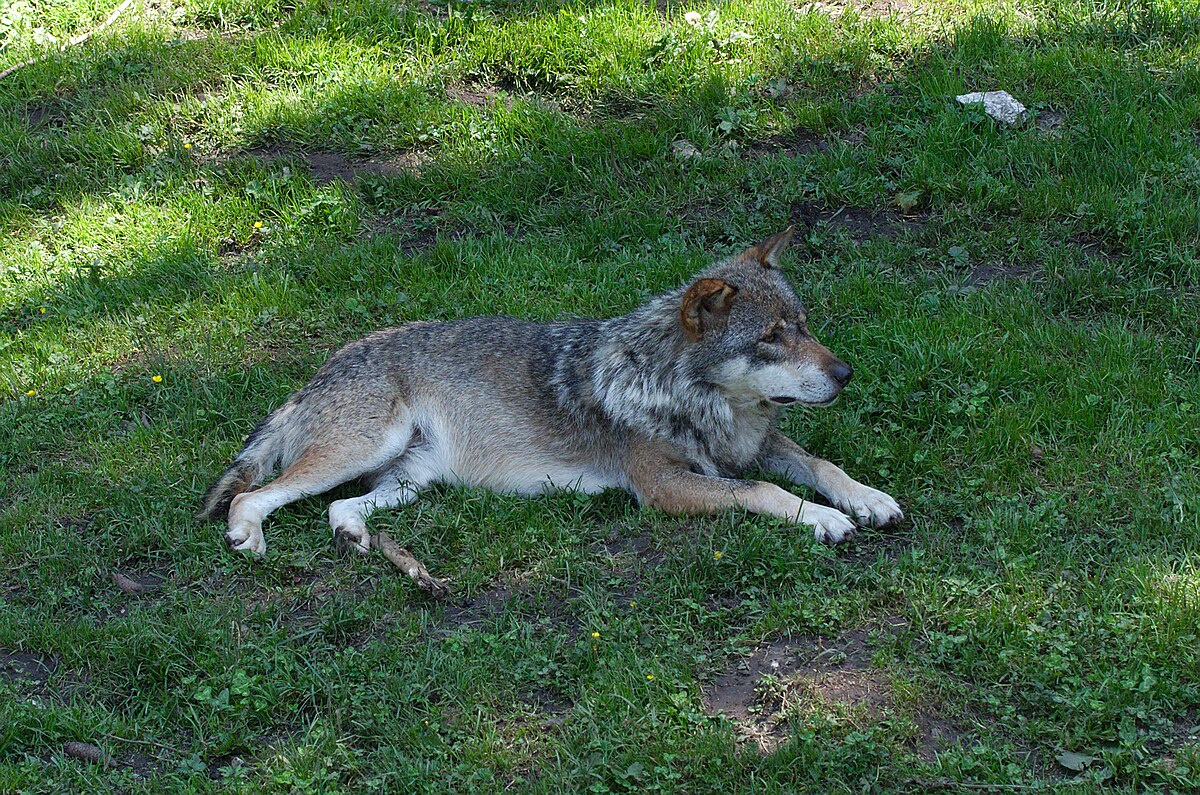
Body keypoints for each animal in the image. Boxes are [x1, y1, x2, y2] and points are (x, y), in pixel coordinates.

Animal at [201, 226, 902, 557]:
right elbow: (767, 491)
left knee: (338, 510)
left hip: (412, 480)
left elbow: (822, 464)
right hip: (362, 451)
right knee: (256, 495)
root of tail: (322, 369)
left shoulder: (753, 448)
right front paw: (827, 519)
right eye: (772, 339)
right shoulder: (664, 488)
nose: (846, 374)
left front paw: (868, 499)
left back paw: (353, 537)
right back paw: (248, 537)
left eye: (804, 326)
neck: (691, 394)